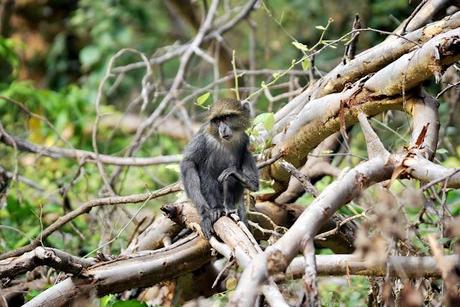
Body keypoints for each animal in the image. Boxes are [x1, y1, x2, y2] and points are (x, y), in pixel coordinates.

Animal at [180, 99, 258, 241]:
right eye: (217, 120)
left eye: (226, 117)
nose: (222, 129)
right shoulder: (203, 138)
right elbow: (188, 162)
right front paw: (205, 213)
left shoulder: (244, 141)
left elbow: (253, 184)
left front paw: (235, 172)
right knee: (206, 172)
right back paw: (217, 208)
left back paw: (230, 206)